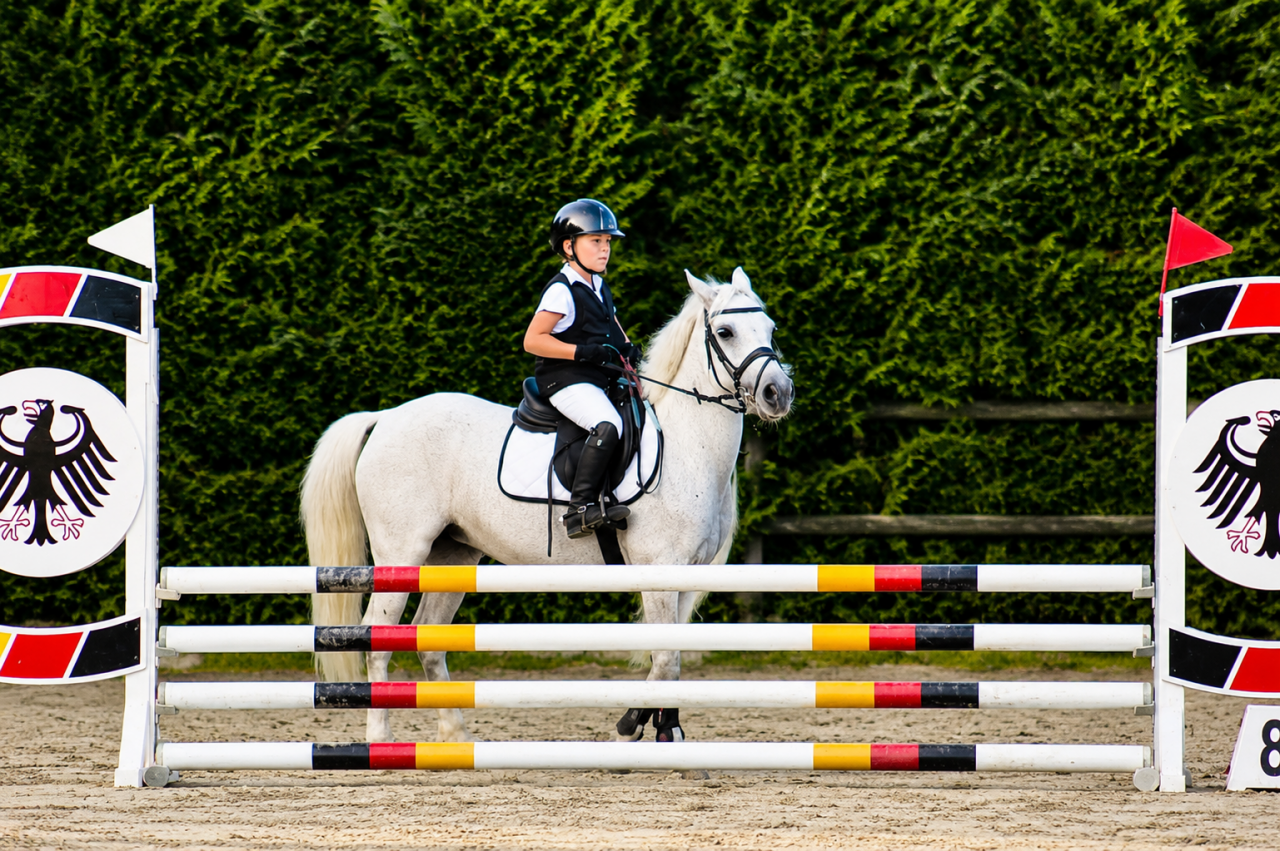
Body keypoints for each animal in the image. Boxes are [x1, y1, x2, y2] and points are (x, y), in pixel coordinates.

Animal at [302, 267, 794, 746]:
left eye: (770, 328)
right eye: (726, 332)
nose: (778, 393)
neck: (686, 447)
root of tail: (385, 417)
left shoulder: (690, 576)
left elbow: (669, 662)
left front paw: (656, 727)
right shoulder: (660, 571)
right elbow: (665, 658)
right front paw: (639, 727)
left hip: (453, 554)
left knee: (430, 638)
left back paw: (456, 735)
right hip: (402, 554)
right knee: (378, 637)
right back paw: (381, 739)